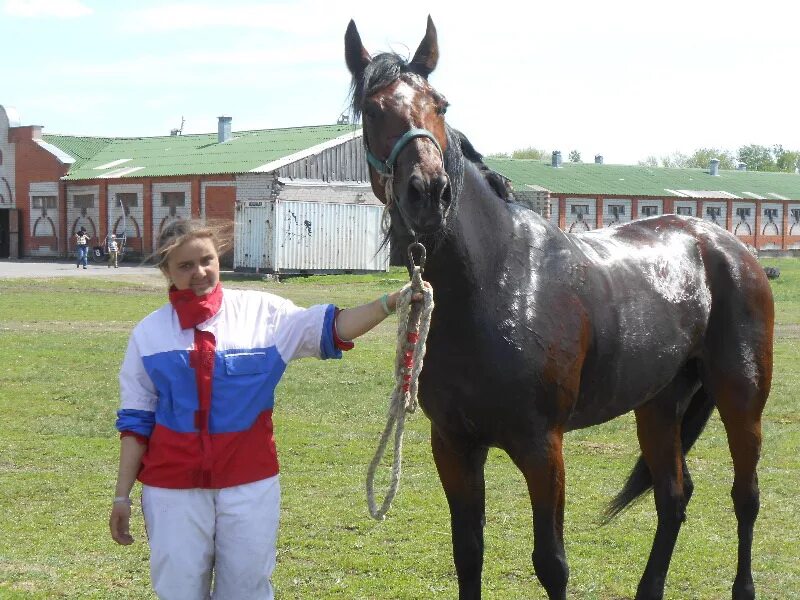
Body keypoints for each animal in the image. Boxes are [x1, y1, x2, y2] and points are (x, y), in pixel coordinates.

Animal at [346, 17, 776, 600]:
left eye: (441, 104)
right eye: (372, 110)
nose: (429, 192)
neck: (495, 282)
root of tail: (726, 245)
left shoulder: (541, 446)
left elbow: (551, 562)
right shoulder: (454, 445)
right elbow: (467, 553)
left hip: (741, 398)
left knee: (744, 496)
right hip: (659, 404)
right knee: (673, 495)